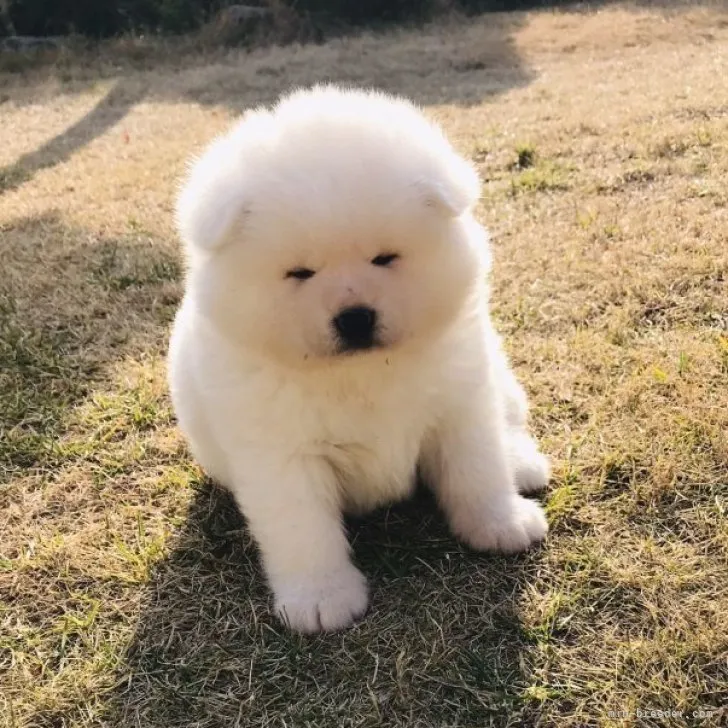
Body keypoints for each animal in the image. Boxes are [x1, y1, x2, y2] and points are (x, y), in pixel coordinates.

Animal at [168, 84, 548, 632]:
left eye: (385, 258)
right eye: (300, 272)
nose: (354, 317)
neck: (358, 373)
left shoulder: (459, 406)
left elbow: (479, 471)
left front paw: (501, 523)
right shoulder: (281, 452)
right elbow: (303, 528)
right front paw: (320, 598)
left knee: (509, 422)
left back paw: (524, 465)